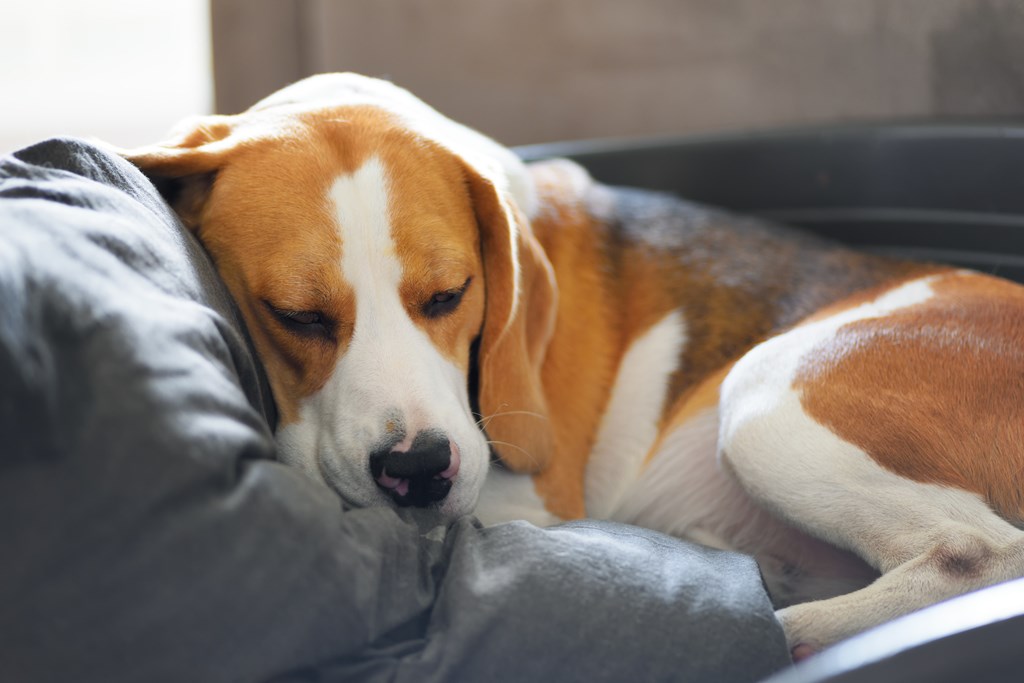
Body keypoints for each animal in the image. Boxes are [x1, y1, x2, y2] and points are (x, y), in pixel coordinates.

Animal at [123, 74, 1024, 663]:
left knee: (975, 552)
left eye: (451, 294)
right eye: (296, 315)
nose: (419, 467)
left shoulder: (536, 495)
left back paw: (790, 629)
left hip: (766, 398)